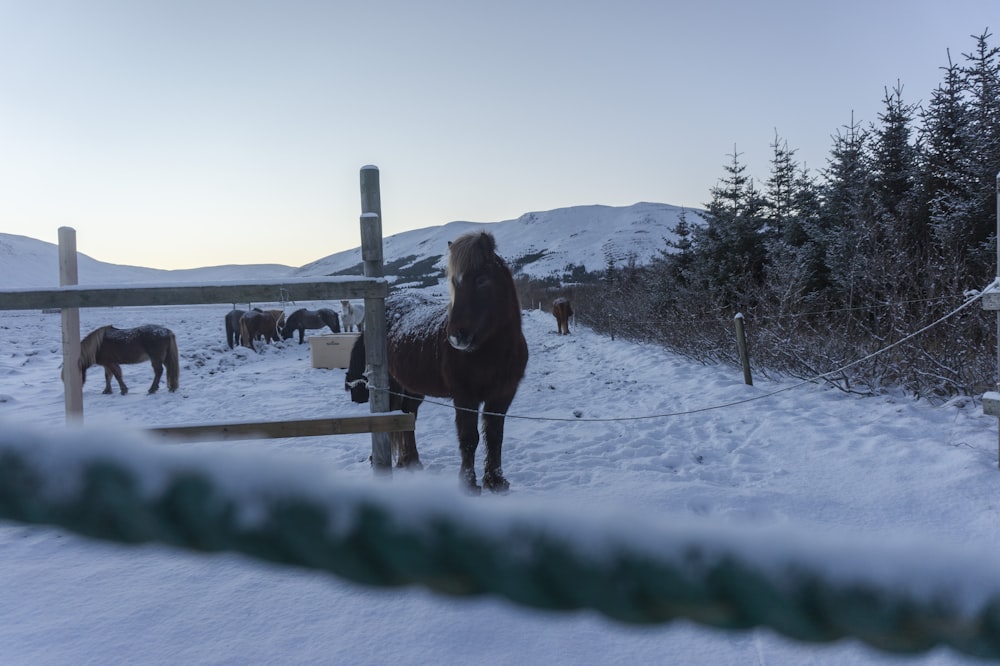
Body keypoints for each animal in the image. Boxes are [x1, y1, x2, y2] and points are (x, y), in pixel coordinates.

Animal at [346, 231, 532, 490]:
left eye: (482, 279)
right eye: (454, 282)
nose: (456, 336)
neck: (490, 350)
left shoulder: (503, 395)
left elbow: (495, 437)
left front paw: (496, 481)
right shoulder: (465, 396)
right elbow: (469, 438)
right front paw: (469, 484)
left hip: (413, 388)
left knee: (409, 415)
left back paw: (411, 461)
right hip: (391, 385)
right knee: (389, 417)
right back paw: (380, 461)